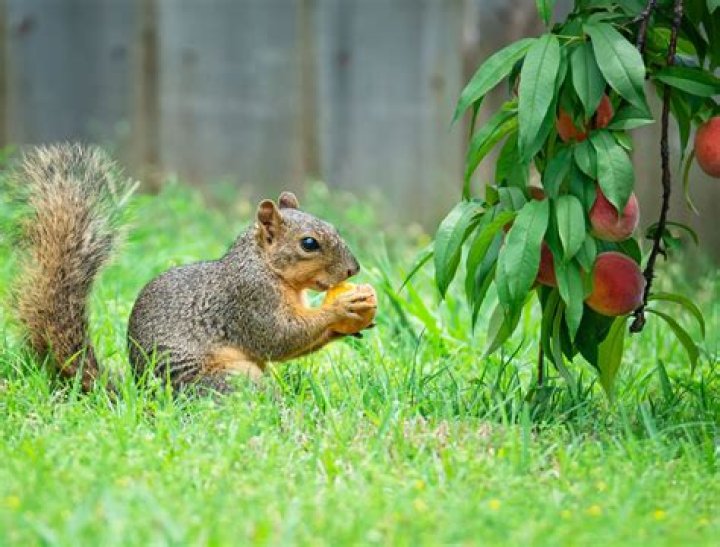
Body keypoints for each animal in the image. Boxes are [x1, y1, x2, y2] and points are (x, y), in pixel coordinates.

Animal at [11, 144, 376, 393]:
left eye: (333, 226)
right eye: (309, 243)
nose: (353, 270)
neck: (264, 266)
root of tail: (146, 397)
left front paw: (351, 324)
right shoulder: (248, 300)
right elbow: (279, 337)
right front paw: (342, 308)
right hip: (231, 378)